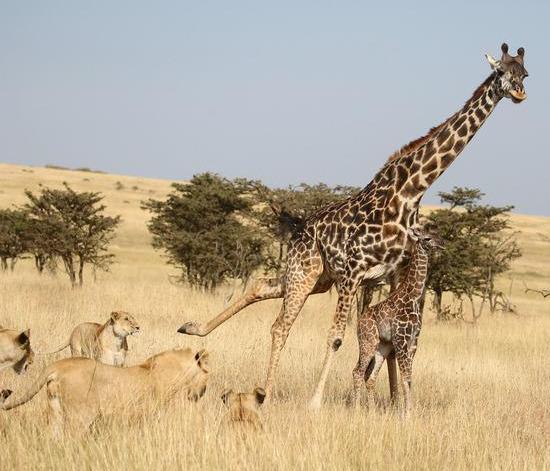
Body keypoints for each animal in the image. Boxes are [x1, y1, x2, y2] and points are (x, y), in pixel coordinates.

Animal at [1, 346, 211, 436]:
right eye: (208, 371)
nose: (201, 393)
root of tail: (59, 364)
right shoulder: (154, 413)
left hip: (56, 411)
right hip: (79, 418)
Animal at [354, 230, 444, 416]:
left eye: (436, 234)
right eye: (427, 238)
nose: (442, 243)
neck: (414, 296)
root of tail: (359, 321)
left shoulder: (413, 341)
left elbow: (409, 377)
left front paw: (410, 411)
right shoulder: (401, 339)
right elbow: (404, 377)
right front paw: (406, 414)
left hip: (382, 346)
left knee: (370, 378)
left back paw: (372, 412)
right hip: (368, 341)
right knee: (357, 372)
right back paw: (356, 410)